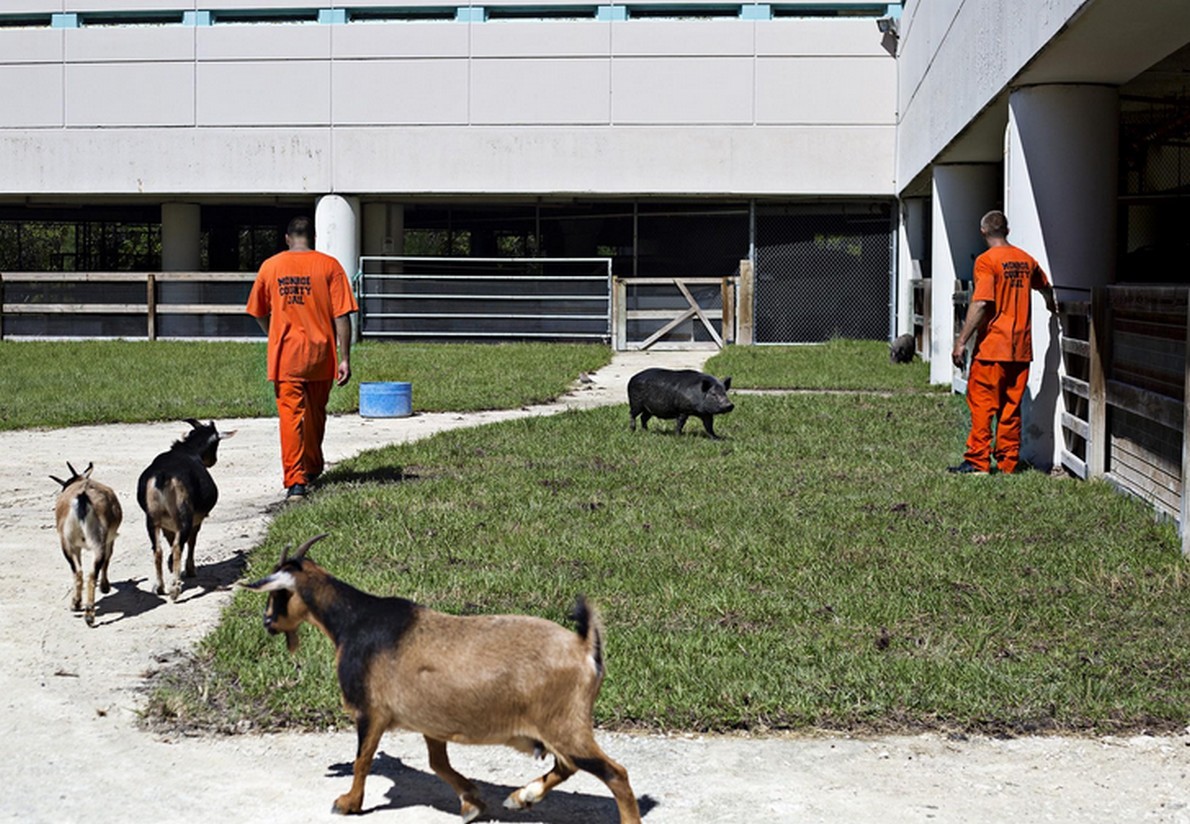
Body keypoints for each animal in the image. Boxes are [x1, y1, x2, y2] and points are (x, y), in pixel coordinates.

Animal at [50, 459, 121, 628]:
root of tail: (82, 497)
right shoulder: (110, 540)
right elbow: (107, 560)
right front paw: (105, 587)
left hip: (67, 544)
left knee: (78, 571)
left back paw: (76, 604)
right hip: (98, 543)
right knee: (92, 573)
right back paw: (89, 614)